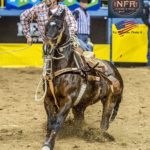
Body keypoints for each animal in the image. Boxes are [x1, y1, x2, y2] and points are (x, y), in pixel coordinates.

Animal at [41, 8, 123, 150]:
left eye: (59, 26)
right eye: (46, 25)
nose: (47, 47)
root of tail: (115, 70)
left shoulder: (68, 100)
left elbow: (57, 122)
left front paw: (48, 144)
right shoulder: (48, 99)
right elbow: (50, 123)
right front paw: (47, 142)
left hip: (110, 101)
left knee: (104, 122)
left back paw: (99, 136)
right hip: (80, 106)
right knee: (81, 121)